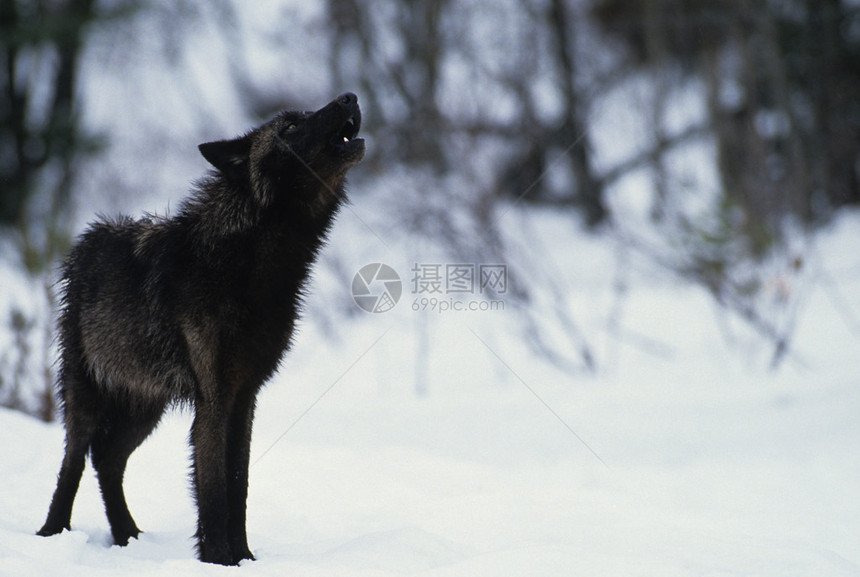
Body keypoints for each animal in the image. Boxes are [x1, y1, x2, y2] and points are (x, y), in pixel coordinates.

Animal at [36, 93, 366, 564]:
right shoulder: (214, 398)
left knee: (108, 459)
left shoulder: (245, 397)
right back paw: (53, 533)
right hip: (86, 398)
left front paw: (244, 558)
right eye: (288, 127)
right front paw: (217, 559)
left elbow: (238, 485)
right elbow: (212, 490)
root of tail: (86, 240)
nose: (350, 97)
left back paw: (126, 536)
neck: (249, 266)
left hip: (145, 406)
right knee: (75, 460)